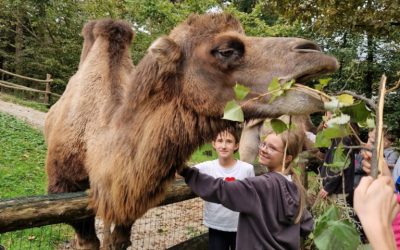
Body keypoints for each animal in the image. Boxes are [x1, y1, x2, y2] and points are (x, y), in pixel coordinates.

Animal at [44, 12, 338, 249]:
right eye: (226, 50)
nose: (316, 52)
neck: (93, 145)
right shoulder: (66, 189)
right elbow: (89, 240)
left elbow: (119, 239)